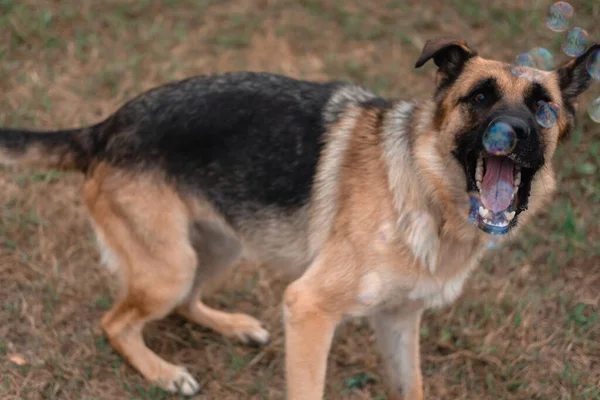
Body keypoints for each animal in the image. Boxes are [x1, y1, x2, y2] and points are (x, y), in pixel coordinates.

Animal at [0, 38, 596, 400]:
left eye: (543, 108)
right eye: (480, 97)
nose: (513, 133)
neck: (425, 189)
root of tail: (105, 126)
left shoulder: (399, 321)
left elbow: (412, 385)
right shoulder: (309, 308)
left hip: (218, 246)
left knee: (186, 302)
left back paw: (234, 326)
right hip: (170, 265)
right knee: (116, 323)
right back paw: (164, 372)